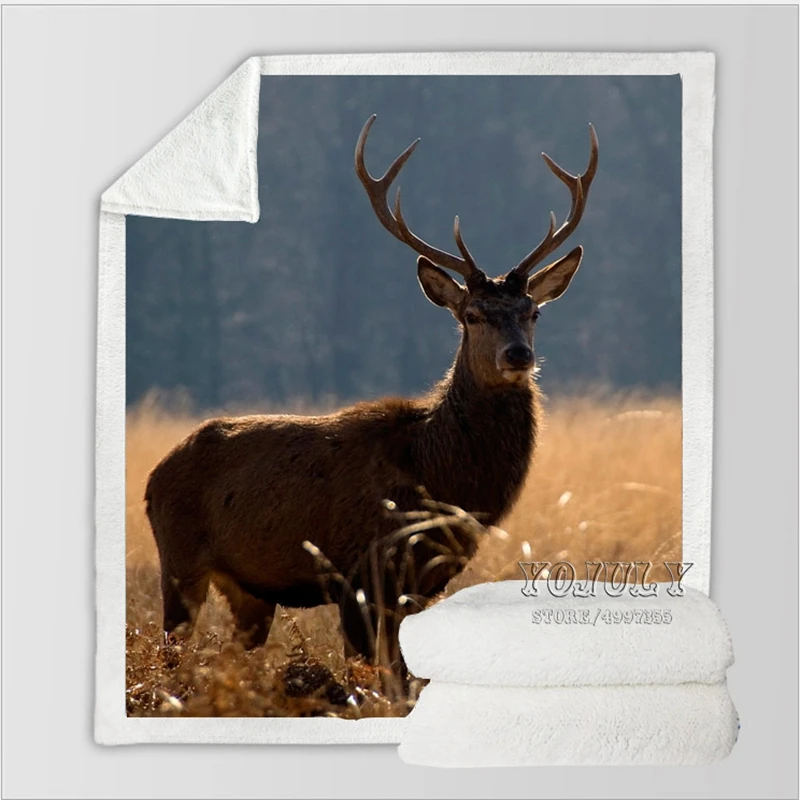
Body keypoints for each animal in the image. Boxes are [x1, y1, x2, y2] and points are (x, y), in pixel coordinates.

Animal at [145, 115, 598, 675]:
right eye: (471, 315)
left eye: (533, 312)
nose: (518, 354)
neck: (436, 475)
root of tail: (152, 477)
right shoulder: (358, 572)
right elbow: (368, 677)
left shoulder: (419, 584)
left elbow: (402, 676)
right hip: (179, 560)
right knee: (172, 651)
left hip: (251, 591)